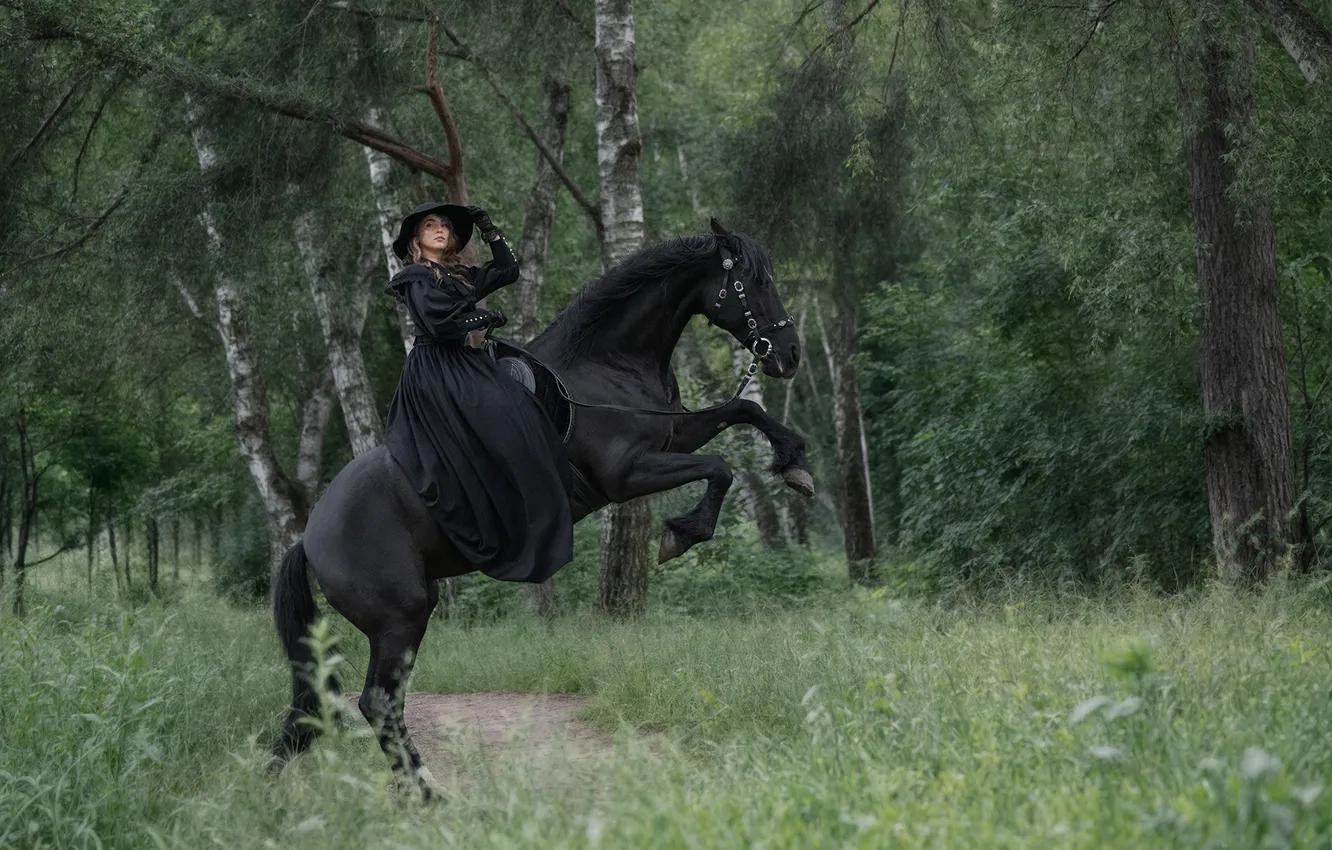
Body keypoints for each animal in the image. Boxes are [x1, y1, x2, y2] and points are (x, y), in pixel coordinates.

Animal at [270, 219, 812, 798]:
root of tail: (309, 537)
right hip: (400, 620)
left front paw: (795, 463)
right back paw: (426, 792)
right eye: (755, 283)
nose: (790, 353)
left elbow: (745, 410)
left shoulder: (674, 435)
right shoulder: (628, 473)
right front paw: (683, 533)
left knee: (365, 705)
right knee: (378, 702)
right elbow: (720, 467)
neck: (606, 364)